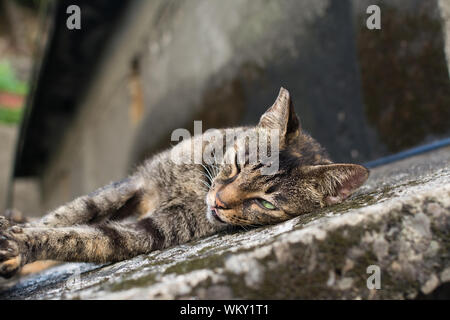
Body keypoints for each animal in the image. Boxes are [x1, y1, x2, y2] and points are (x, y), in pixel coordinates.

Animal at [0, 87, 370, 278]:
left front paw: (20, 246)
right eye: (237, 164)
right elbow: (70, 213)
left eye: (264, 202)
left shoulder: (151, 231)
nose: (218, 201)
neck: (196, 187)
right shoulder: (136, 184)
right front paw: (15, 234)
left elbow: (81, 238)